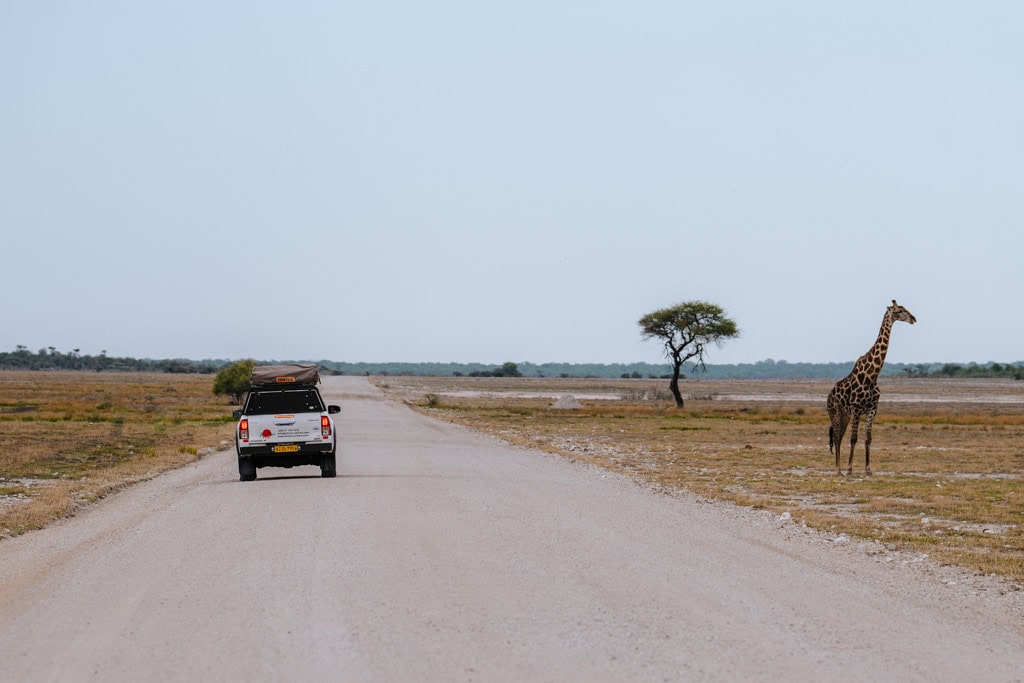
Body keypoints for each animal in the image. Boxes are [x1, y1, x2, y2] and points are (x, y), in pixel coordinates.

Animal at [827, 301, 917, 479]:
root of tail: (828, 396)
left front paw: (868, 470)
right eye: (899, 310)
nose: (913, 319)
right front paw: (850, 469)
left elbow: (868, 438)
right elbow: (853, 438)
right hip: (836, 413)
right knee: (837, 437)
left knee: (839, 436)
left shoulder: (872, 409)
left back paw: (839, 469)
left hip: (845, 415)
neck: (872, 376)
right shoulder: (856, 408)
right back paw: (838, 470)